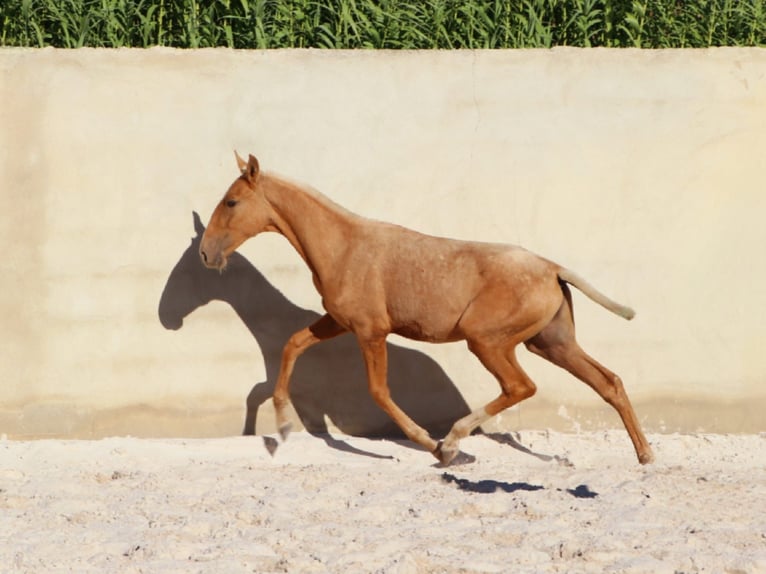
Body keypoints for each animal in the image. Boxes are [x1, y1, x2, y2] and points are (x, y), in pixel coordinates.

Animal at [198, 154, 656, 468]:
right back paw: (645, 455)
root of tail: (552, 268)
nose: (205, 254)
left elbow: (379, 391)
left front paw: (433, 445)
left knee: (521, 386)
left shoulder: (370, 331)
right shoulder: (340, 322)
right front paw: (281, 425)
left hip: (488, 341)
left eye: (232, 202)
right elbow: (292, 345)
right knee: (609, 382)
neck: (344, 246)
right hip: (550, 344)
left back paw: (453, 442)